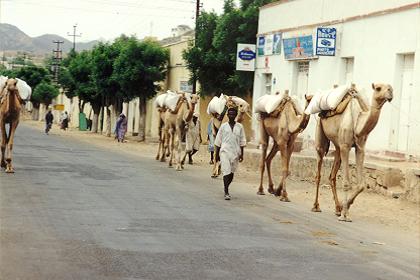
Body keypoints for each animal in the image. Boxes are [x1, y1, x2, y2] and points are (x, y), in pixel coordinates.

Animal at [312, 82, 394, 222]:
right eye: (378, 88)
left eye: (390, 87)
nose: (390, 92)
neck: (358, 121)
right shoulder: (346, 147)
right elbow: (346, 183)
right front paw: (344, 215)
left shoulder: (360, 148)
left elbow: (362, 184)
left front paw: (345, 207)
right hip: (321, 131)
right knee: (319, 168)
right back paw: (316, 206)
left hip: (337, 146)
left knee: (332, 175)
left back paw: (337, 208)